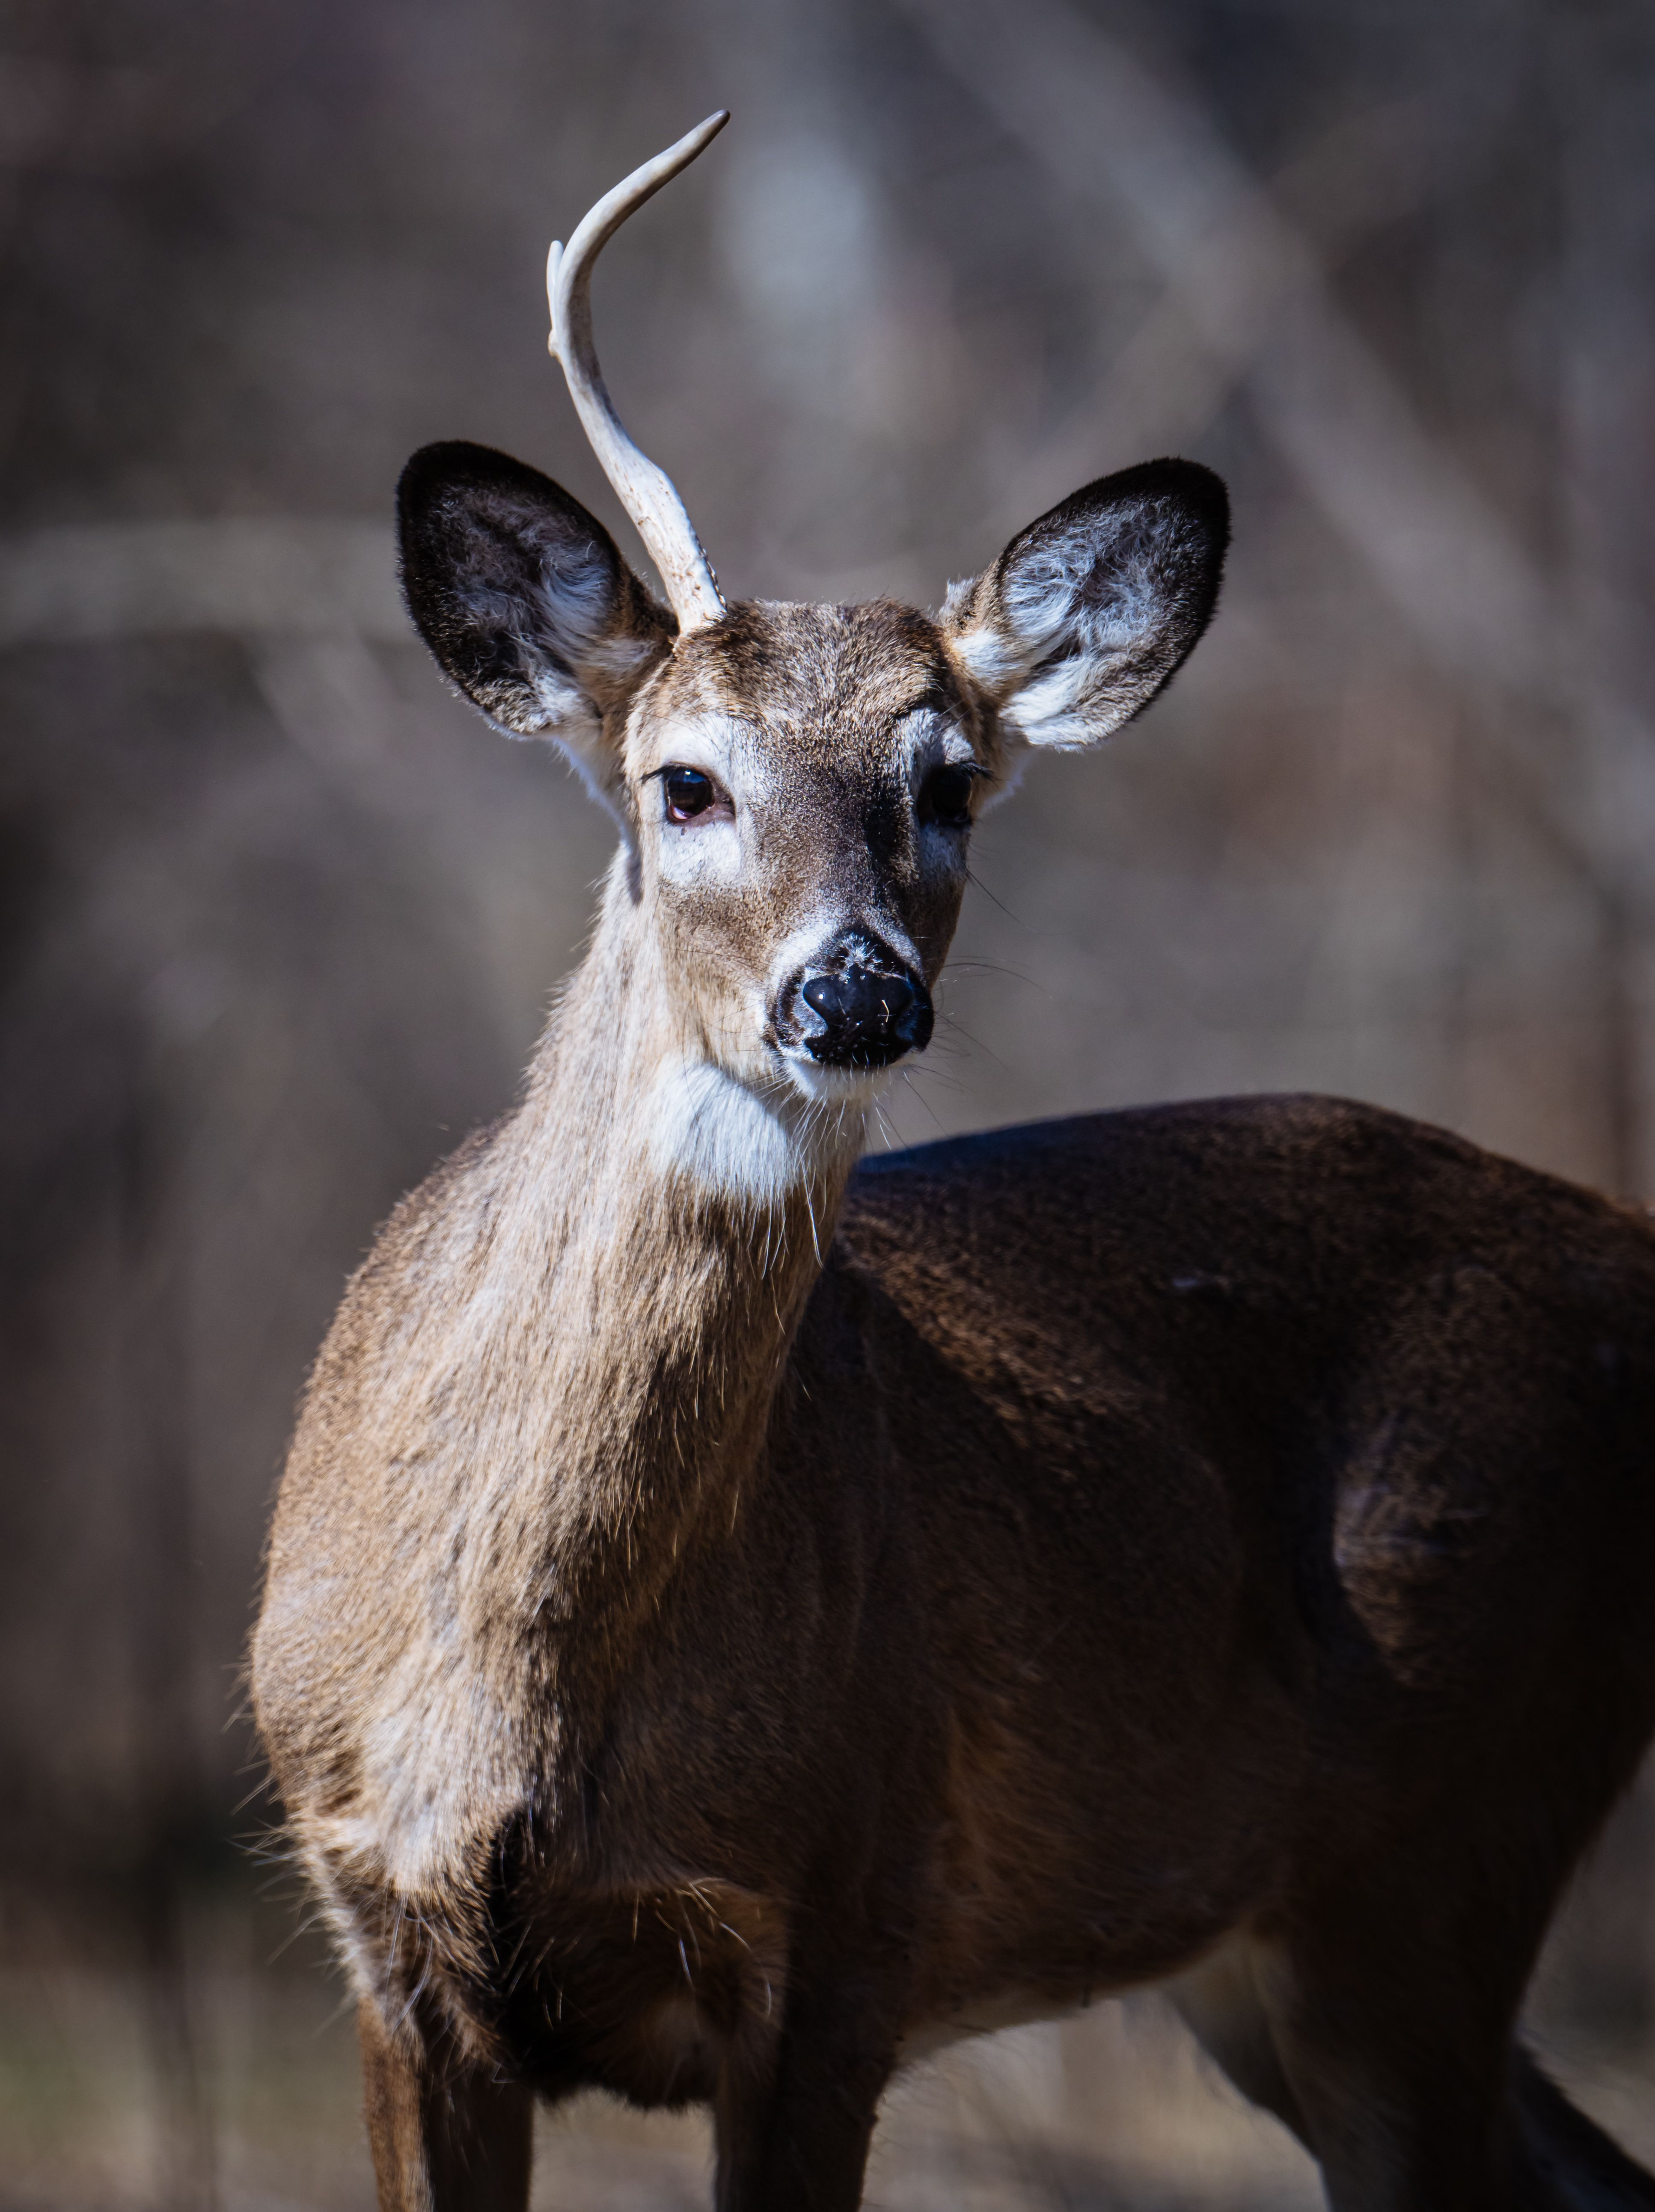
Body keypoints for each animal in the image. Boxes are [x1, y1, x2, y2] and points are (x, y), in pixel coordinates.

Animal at [252, 112, 1655, 2212]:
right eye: (682, 781)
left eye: (948, 785)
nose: (854, 989)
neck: (517, 1686)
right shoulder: (384, 1943)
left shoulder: (856, 1919)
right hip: (1279, 1948)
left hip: (1445, 1846)